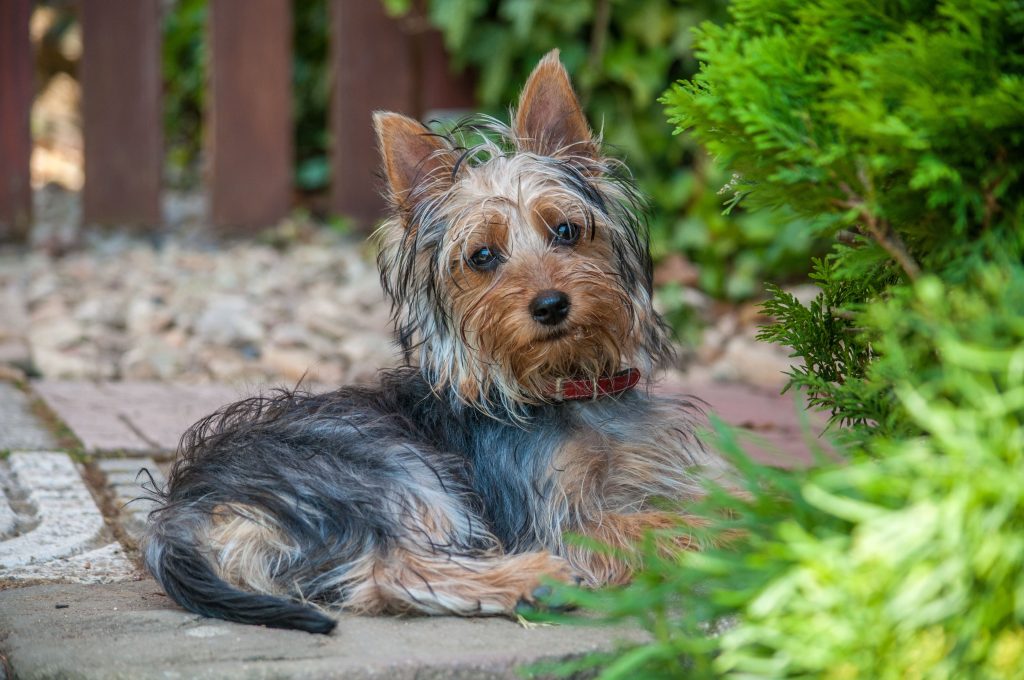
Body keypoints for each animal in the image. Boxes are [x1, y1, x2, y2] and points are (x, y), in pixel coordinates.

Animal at [144, 49, 724, 630]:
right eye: (482, 256)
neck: (567, 388)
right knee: (394, 568)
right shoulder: (555, 520)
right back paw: (534, 581)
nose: (551, 304)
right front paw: (736, 539)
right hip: (389, 471)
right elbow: (659, 527)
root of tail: (189, 507)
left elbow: (695, 502)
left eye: (566, 230)